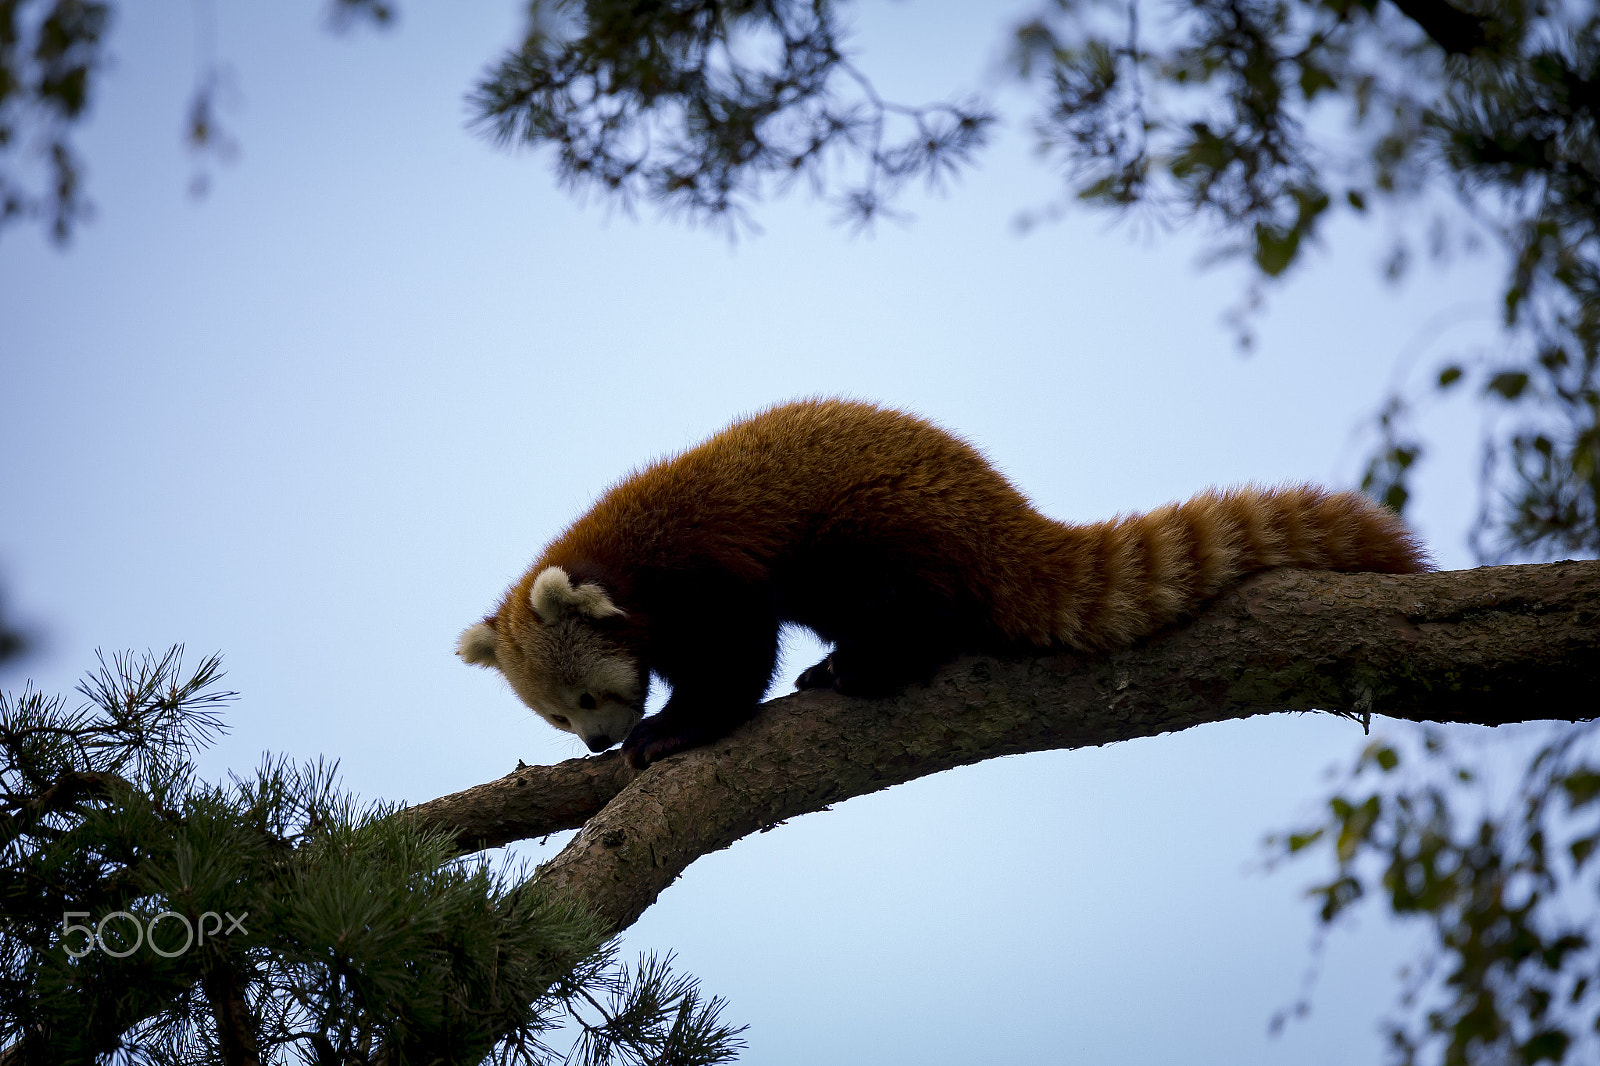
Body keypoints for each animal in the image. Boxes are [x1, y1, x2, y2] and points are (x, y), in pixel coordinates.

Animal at [458, 399, 1429, 769]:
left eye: (589, 698)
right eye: (559, 719)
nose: (592, 745)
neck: (617, 555)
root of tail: (1006, 511)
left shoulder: (701, 568)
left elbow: (738, 655)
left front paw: (672, 730)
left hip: (874, 527)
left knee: (909, 606)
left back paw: (862, 665)